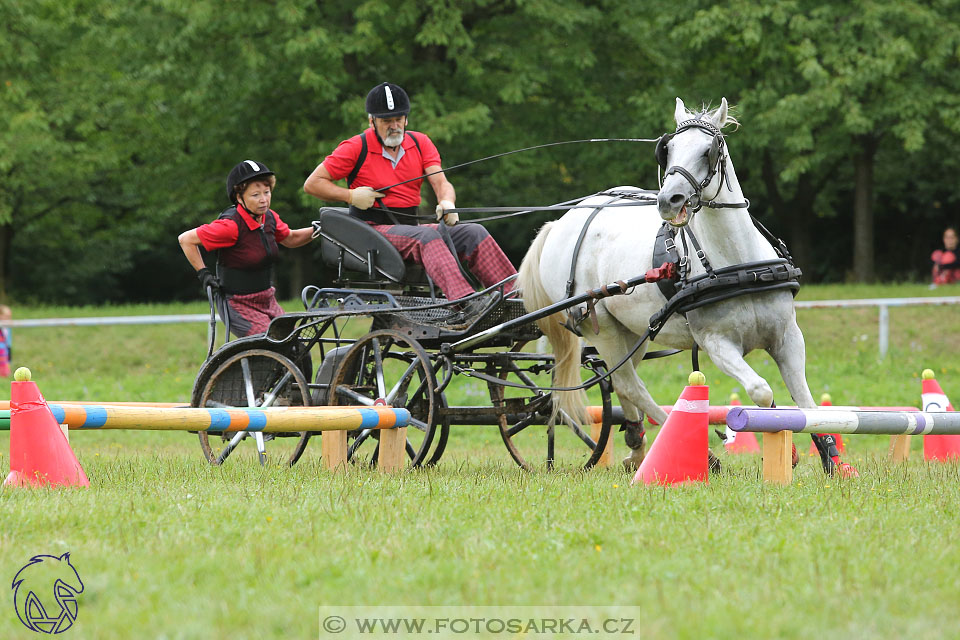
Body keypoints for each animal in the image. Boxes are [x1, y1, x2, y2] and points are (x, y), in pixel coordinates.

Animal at [520, 96, 852, 476]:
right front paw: (787, 450)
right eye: (669, 149)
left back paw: (636, 447)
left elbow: (808, 404)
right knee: (631, 384)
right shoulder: (717, 344)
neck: (739, 266)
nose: (669, 200)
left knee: (623, 382)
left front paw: (831, 458)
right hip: (599, 327)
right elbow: (760, 391)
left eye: (710, 150)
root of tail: (560, 223)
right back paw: (696, 454)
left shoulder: (787, 337)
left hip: (630, 331)